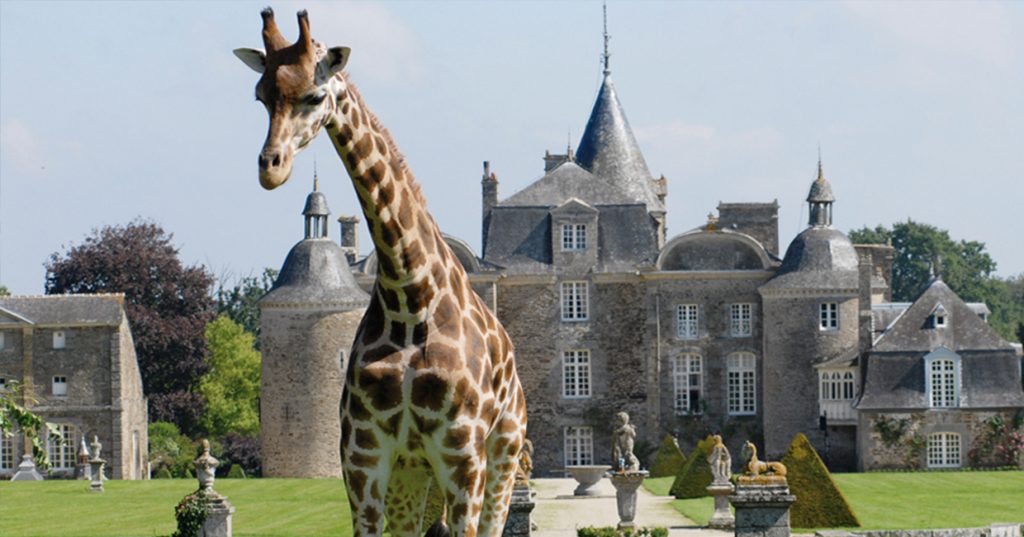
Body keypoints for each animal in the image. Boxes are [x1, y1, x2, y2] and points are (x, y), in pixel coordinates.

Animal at [235, 8, 528, 537]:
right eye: (261, 95)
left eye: (315, 95)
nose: (272, 167)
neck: (409, 300)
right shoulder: (364, 460)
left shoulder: (463, 459)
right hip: (413, 477)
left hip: (503, 456)